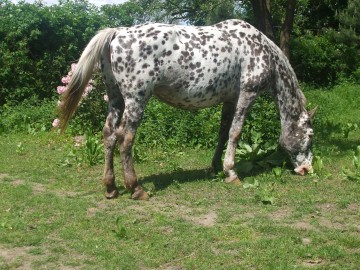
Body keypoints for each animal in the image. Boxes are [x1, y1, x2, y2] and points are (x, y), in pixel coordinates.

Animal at [58, 19, 316, 199]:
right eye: (310, 135)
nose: (307, 169)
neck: (261, 51)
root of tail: (118, 33)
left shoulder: (230, 100)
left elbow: (223, 133)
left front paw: (215, 168)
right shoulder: (247, 95)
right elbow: (235, 133)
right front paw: (231, 173)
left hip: (115, 98)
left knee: (109, 135)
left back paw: (111, 188)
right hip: (135, 99)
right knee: (125, 138)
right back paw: (136, 188)